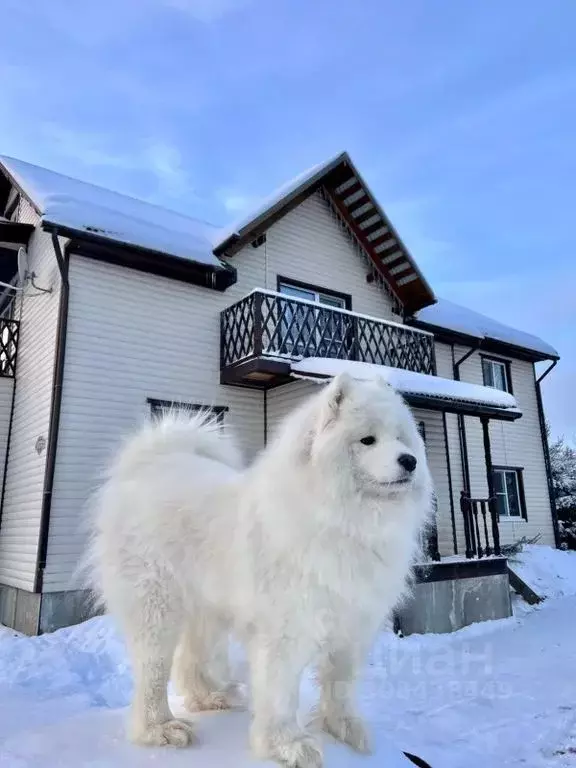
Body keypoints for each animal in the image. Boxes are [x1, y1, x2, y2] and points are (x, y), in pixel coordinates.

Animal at [90, 370, 432, 760]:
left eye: (401, 438)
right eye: (367, 440)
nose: (410, 461)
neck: (343, 520)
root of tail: (149, 465)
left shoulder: (353, 623)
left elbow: (340, 683)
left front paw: (344, 729)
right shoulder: (286, 628)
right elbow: (280, 691)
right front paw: (287, 745)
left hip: (205, 608)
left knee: (191, 658)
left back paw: (211, 697)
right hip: (156, 608)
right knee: (153, 672)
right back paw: (160, 729)